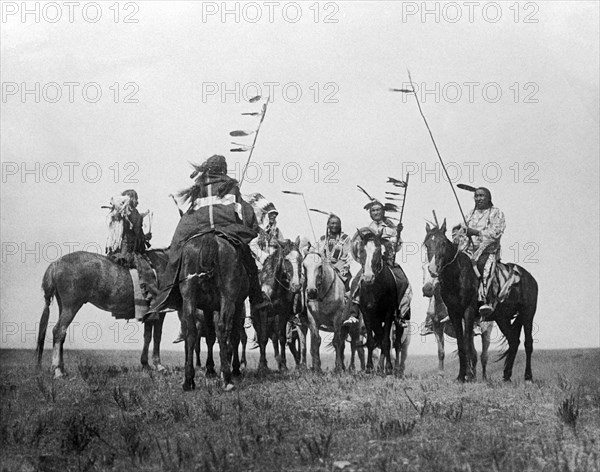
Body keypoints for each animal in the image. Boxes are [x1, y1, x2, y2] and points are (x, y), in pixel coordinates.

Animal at [35, 249, 172, 378]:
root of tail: (56, 264)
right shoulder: (160, 313)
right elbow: (157, 337)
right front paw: (159, 366)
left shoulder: (150, 314)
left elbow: (148, 336)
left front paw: (146, 365)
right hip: (71, 307)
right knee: (58, 331)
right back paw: (57, 371)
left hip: (63, 307)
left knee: (62, 334)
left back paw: (62, 370)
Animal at [350, 229, 410, 376]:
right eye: (361, 250)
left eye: (378, 250)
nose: (368, 277)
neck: (374, 288)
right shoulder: (367, 315)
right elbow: (372, 341)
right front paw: (369, 367)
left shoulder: (388, 314)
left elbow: (386, 341)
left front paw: (388, 367)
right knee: (380, 336)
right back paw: (379, 367)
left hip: (398, 321)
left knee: (397, 343)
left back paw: (396, 369)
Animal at [424, 219, 540, 382]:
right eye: (427, 244)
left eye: (443, 243)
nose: (433, 268)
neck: (458, 276)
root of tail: (528, 277)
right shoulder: (454, 314)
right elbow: (461, 344)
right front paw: (461, 377)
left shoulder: (469, 311)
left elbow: (467, 344)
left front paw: (467, 376)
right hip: (502, 317)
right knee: (513, 341)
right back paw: (506, 375)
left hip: (528, 313)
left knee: (528, 343)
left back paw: (528, 377)